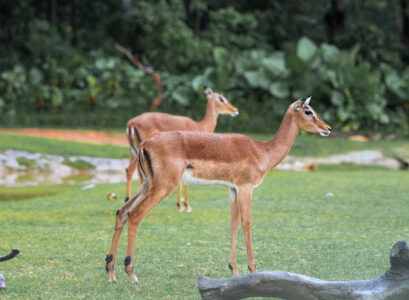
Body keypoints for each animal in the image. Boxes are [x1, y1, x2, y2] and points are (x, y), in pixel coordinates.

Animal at [104, 96, 328, 284]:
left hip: (147, 184)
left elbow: (233, 223)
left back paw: (111, 272)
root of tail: (143, 144)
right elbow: (247, 223)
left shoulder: (232, 189)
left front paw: (234, 271)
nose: (327, 128)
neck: (262, 151)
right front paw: (253, 269)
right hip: (163, 186)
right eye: (308, 111)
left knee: (122, 211)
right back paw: (132, 274)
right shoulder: (246, 187)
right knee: (135, 214)